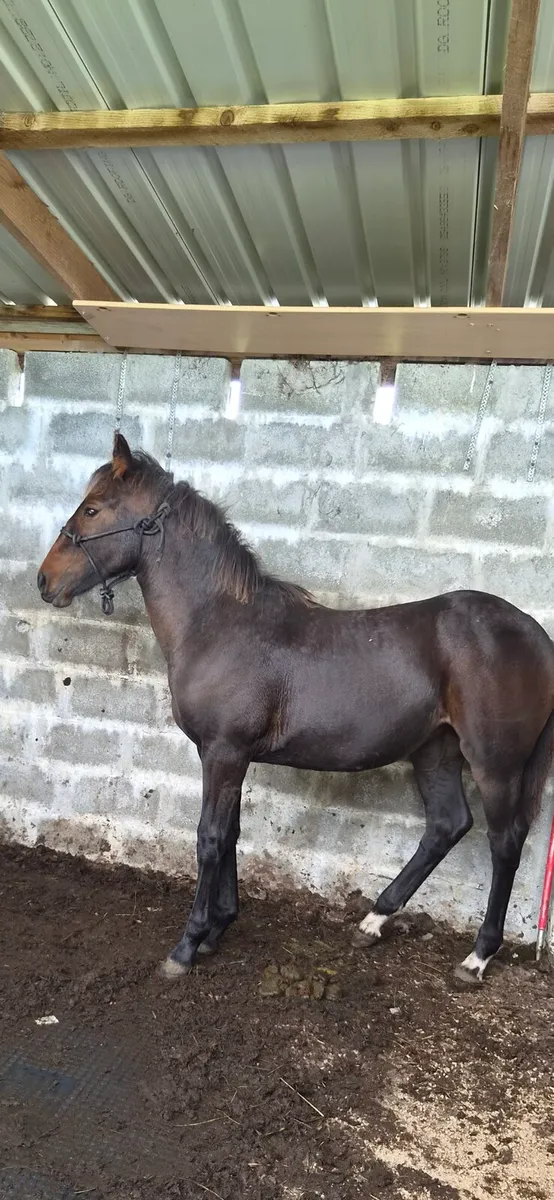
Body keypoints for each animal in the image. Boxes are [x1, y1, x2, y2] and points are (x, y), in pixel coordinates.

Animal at [37, 433, 554, 986]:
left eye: (92, 509)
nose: (45, 581)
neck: (220, 623)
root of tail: (536, 635)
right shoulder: (226, 755)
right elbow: (232, 833)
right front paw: (219, 928)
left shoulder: (224, 752)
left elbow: (210, 838)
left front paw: (188, 945)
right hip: (436, 751)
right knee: (447, 826)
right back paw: (374, 920)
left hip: (495, 765)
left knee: (505, 843)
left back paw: (478, 955)